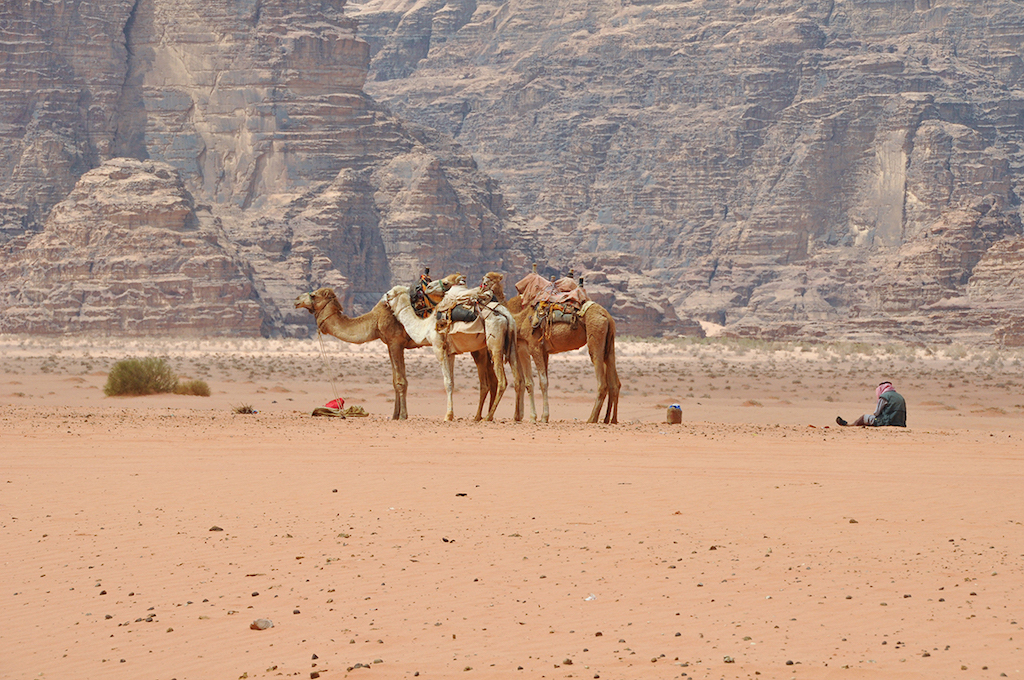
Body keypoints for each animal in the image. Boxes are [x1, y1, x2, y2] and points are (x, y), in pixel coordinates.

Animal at [294, 280, 497, 419]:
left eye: (314, 295)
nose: (296, 300)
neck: (375, 320)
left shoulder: (395, 342)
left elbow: (401, 381)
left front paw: (403, 416)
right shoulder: (388, 344)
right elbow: (394, 381)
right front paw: (394, 415)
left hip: (478, 346)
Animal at [387, 276, 524, 419]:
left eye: (390, 294)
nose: (385, 297)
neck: (425, 328)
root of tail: (504, 314)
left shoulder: (438, 348)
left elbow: (447, 382)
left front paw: (448, 416)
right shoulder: (449, 353)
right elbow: (452, 382)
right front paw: (450, 414)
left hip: (495, 343)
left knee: (502, 381)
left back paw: (488, 417)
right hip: (512, 342)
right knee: (517, 379)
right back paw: (515, 417)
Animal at [481, 272, 622, 426]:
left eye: (489, 281)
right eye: (483, 279)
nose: (481, 288)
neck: (520, 318)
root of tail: (607, 316)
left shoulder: (533, 347)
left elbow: (540, 382)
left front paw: (540, 417)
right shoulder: (537, 350)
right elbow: (533, 382)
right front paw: (535, 417)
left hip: (595, 337)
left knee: (602, 382)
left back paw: (592, 419)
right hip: (609, 343)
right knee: (614, 382)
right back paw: (610, 419)